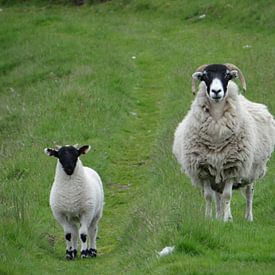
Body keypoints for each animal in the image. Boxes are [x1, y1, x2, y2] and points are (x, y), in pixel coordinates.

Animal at [174, 64, 275, 222]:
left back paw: (248, 217)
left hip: (251, 170)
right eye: (205, 76)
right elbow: (209, 196)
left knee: (249, 193)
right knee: (218, 196)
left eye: (227, 75)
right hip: (217, 176)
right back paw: (218, 215)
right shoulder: (204, 170)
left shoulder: (232, 168)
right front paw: (209, 218)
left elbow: (228, 195)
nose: (216, 91)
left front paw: (228, 219)